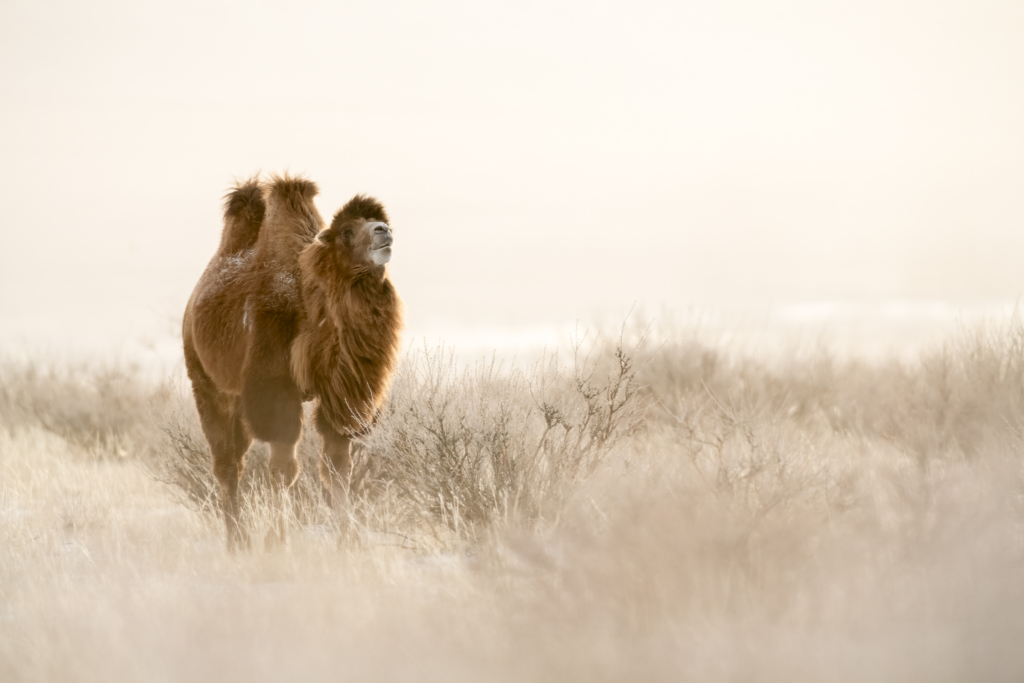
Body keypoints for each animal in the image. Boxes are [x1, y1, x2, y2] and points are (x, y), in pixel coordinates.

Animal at [182, 175, 401, 548]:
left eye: (377, 220)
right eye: (346, 232)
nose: (383, 230)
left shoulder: (339, 396)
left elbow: (338, 467)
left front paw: (349, 540)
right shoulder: (275, 390)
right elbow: (283, 470)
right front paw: (277, 541)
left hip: (238, 397)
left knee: (236, 458)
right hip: (208, 383)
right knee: (226, 462)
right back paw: (237, 541)